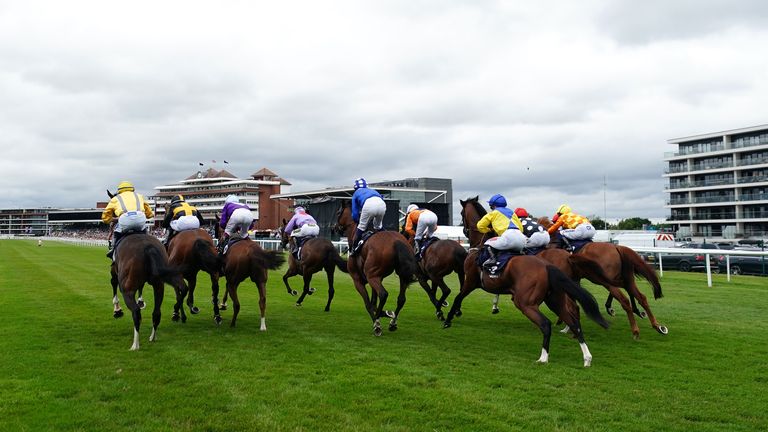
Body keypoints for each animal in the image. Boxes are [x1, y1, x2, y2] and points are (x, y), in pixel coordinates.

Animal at [334, 201, 416, 336]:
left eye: (337, 213)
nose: (334, 228)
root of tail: (396, 242)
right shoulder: (378, 278)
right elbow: (373, 302)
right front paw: (387, 313)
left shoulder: (358, 280)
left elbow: (368, 303)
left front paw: (379, 319)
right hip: (400, 275)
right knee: (401, 299)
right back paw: (392, 323)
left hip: (372, 276)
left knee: (383, 294)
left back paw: (377, 323)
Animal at [450, 201, 608, 366]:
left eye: (462, 214)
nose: (464, 231)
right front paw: (494, 306)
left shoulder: (471, 280)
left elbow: (459, 296)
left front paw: (453, 315)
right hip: (560, 292)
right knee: (572, 314)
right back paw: (578, 345)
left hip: (533, 300)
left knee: (563, 314)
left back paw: (554, 346)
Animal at [536, 215, 668, 338]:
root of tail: (616, 247)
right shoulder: (573, 279)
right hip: (623, 279)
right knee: (641, 297)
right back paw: (658, 326)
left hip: (605, 280)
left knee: (624, 300)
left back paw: (635, 330)